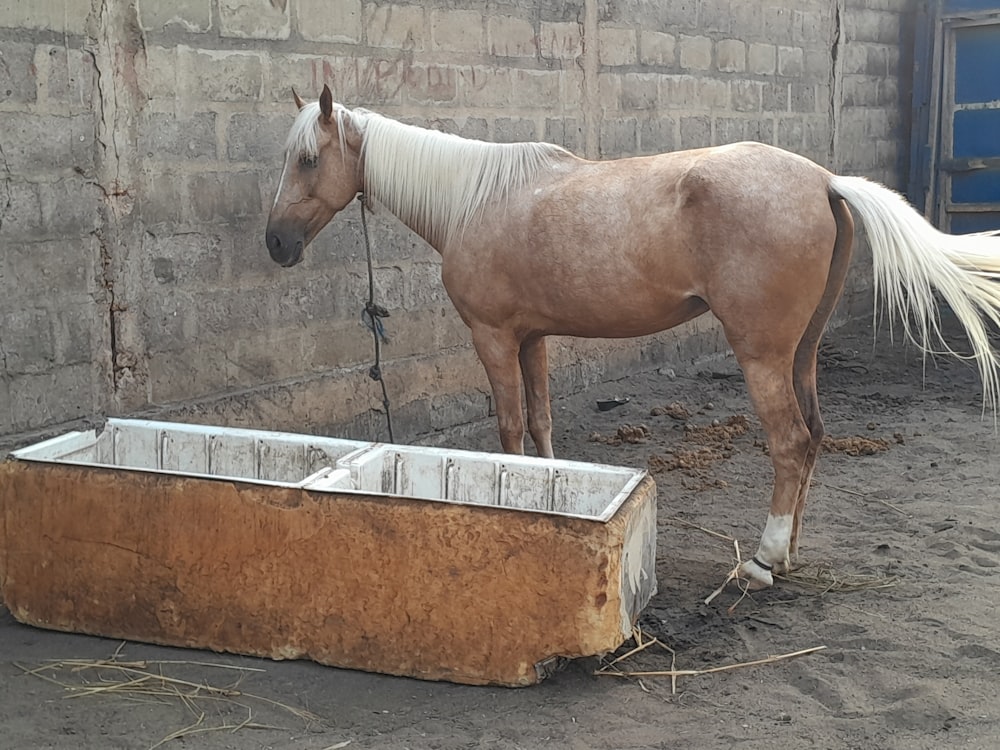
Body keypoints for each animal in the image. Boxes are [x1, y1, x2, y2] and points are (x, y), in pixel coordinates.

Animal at [266, 88, 1000, 592]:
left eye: (308, 160)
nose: (275, 244)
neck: (474, 200)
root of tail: (824, 181)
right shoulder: (532, 339)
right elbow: (541, 424)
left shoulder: (494, 338)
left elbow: (508, 428)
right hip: (803, 353)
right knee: (815, 436)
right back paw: (789, 551)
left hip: (762, 355)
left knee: (791, 443)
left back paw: (764, 561)